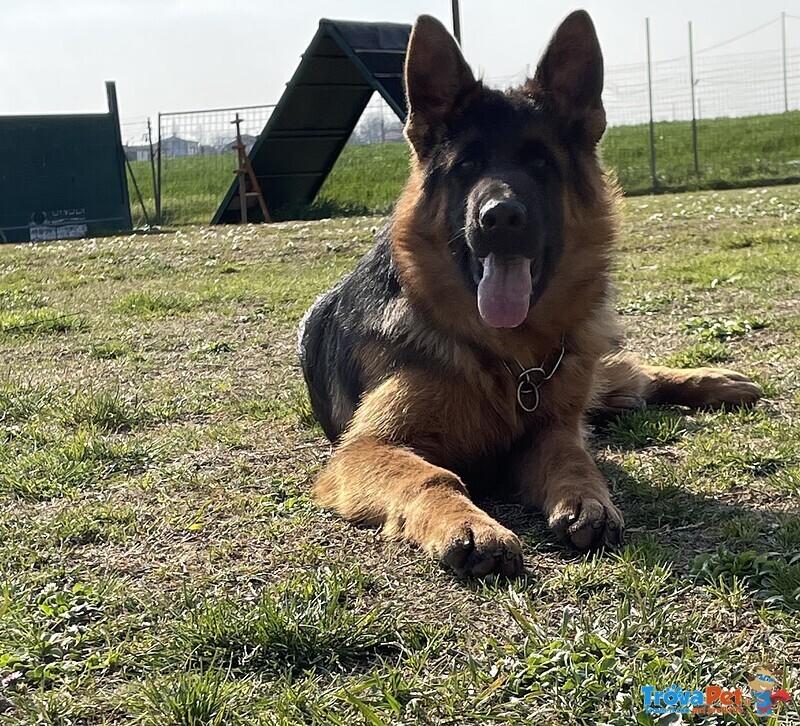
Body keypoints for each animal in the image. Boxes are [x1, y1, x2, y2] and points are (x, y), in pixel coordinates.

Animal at [298, 11, 764, 576]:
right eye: (467, 167)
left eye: (541, 164)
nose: (499, 217)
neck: (505, 359)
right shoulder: (365, 450)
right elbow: (431, 475)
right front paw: (466, 522)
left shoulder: (552, 428)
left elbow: (573, 454)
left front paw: (587, 498)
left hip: (587, 366)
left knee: (631, 375)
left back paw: (718, 381)